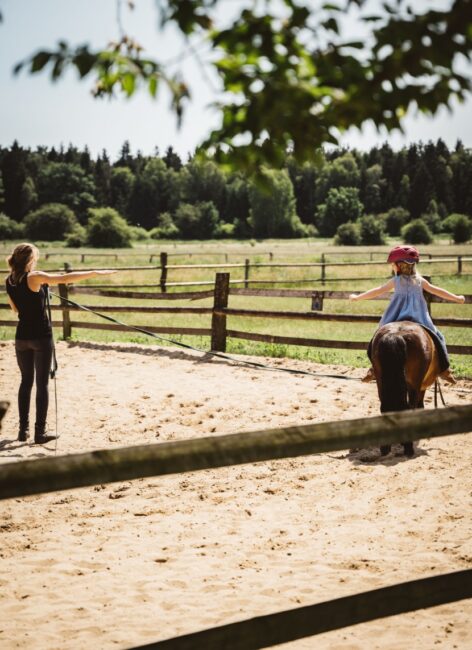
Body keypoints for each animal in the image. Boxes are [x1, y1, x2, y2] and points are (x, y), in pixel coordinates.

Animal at [370, 320, 440, 456]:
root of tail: (396, 335)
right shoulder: (420, 386)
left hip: (380, 381)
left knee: (385, 407)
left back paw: (386, 447)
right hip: (414, 385)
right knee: (409, 408)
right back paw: (408, 447)